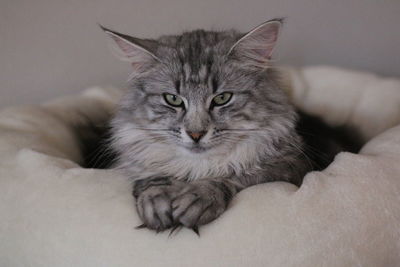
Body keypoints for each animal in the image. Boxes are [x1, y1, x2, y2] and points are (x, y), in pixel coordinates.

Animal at [94, 18, 360, 234]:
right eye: (173, 100)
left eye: (222, 98)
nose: (196, 133)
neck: (197, 167)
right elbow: (150, 180)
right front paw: (156, 200)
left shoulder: (291, 166)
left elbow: (236, 176)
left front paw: (198, 198)